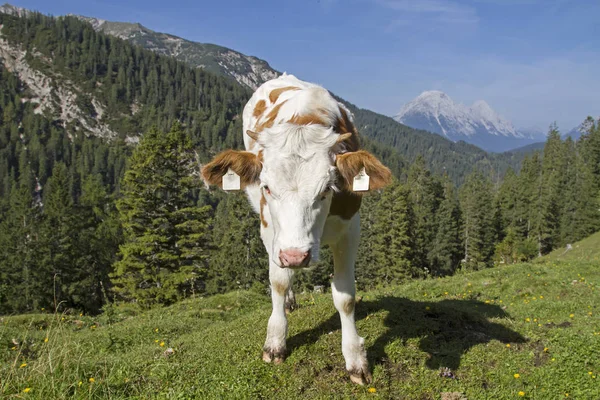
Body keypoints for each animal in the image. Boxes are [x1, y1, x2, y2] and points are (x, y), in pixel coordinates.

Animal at [202, 72, 392, 384]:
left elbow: (345, 297)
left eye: (327, 188)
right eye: (266, 187)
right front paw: (275, 342)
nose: (295, 256)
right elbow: (278, 282)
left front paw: (355, 358)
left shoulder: (350, 228)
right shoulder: (269, 229)